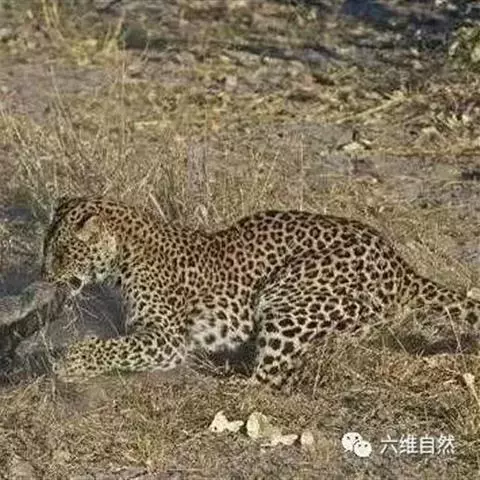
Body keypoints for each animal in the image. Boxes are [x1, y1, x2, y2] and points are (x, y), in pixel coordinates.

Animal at [41, 196, 480, 388]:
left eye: (62, 252)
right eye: (46, 247)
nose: (43, 273)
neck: (125, 253)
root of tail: (402, 265)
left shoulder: (166, 339)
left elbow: (113, 348)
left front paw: (71, 362)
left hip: (287, 299)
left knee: (269, 381)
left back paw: (226, 380)